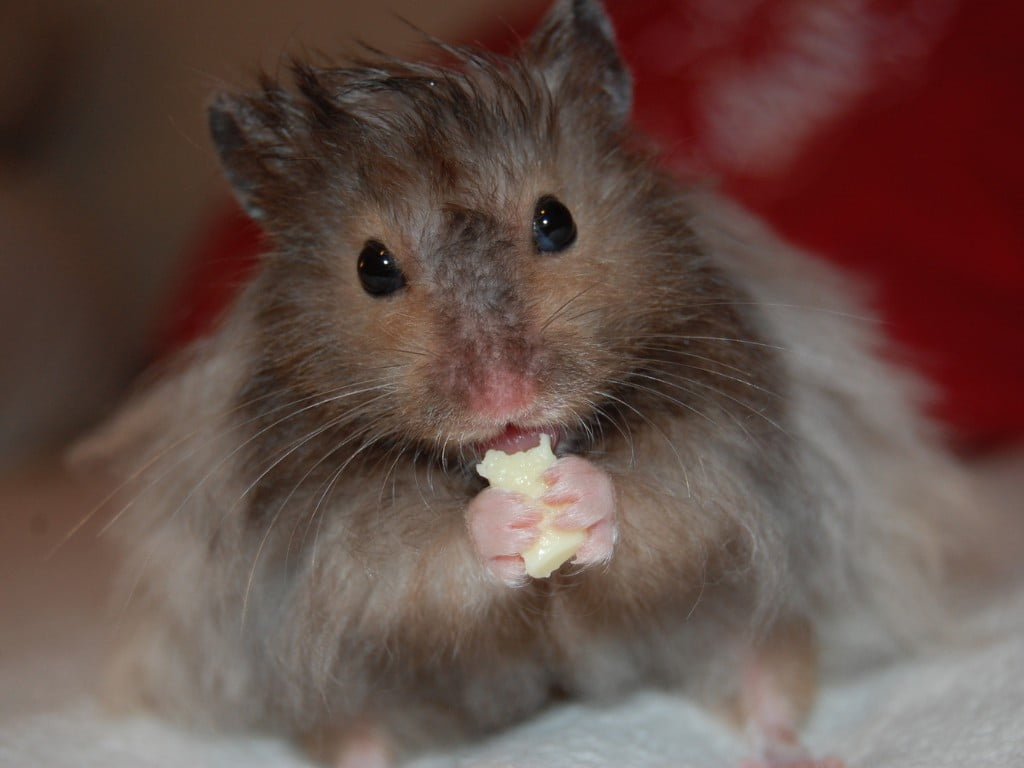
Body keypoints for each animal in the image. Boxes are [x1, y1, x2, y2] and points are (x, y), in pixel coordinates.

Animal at [81, 1, 974, 768]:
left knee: (765, 679)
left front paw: (574, 497)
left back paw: (800, 752)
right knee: (359, 731)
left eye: (557, 221)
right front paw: (506, 521)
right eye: (373, 268)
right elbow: (402, 557)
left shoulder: (733, 441)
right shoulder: (314, 530)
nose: (505, 402)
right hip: (340, 692)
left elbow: (673, 500)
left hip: (752, 613)